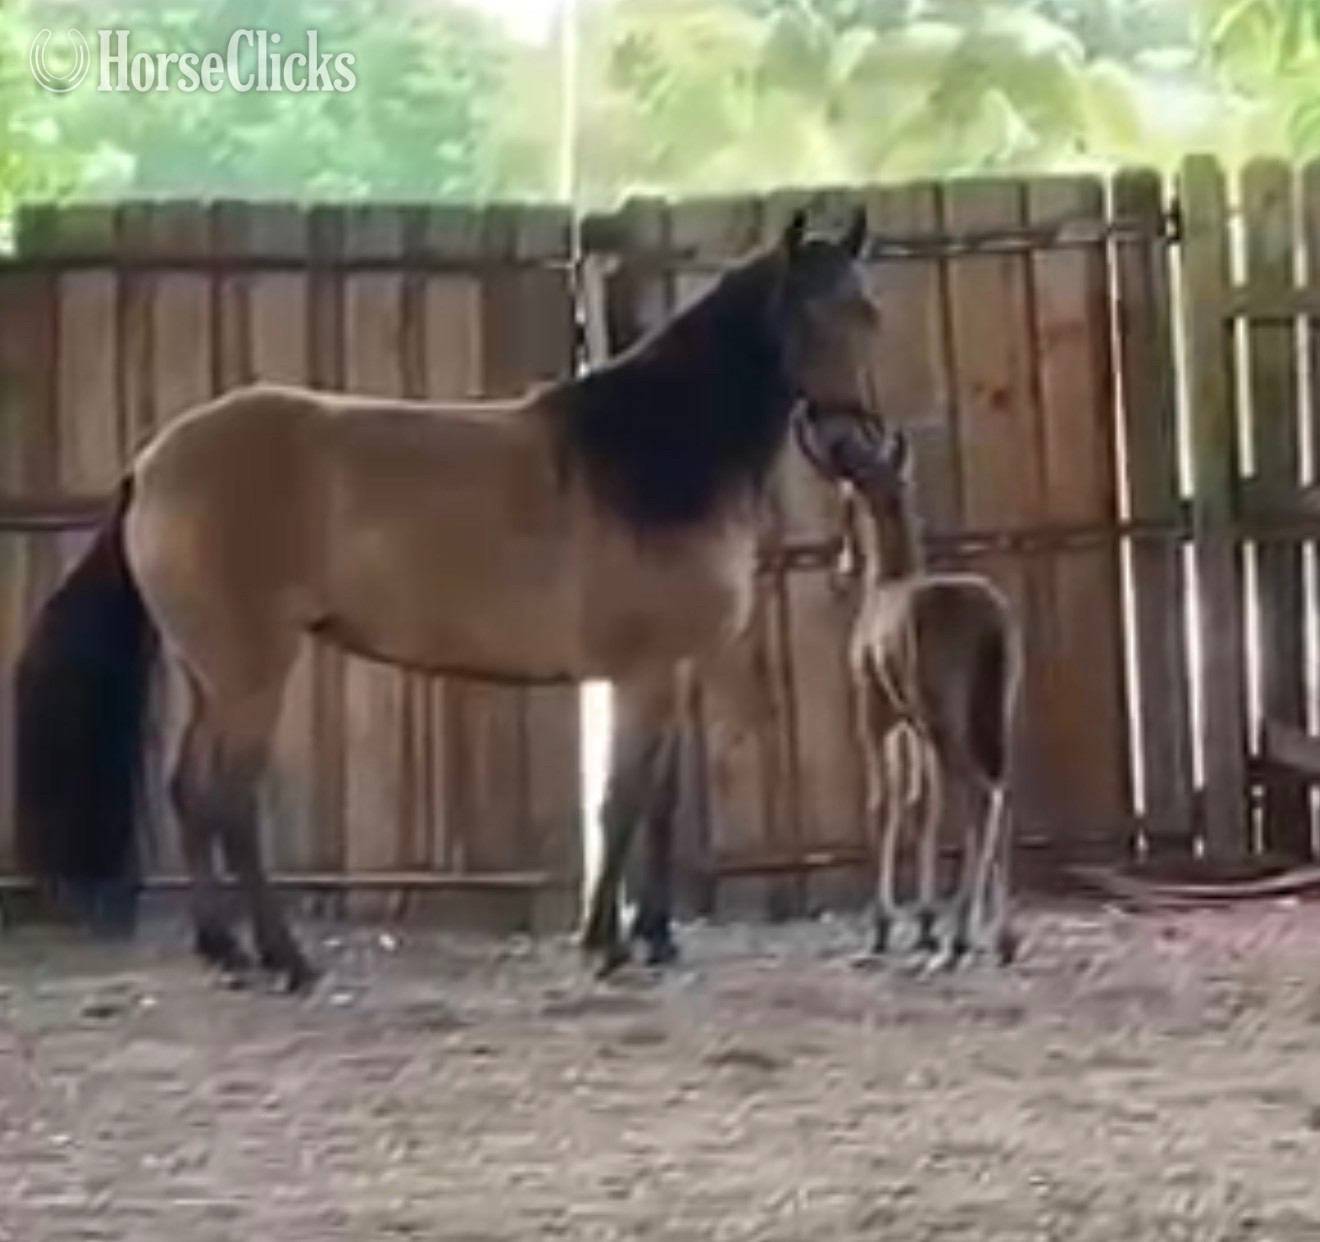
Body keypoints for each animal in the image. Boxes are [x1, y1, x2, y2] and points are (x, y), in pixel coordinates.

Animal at [13, 207, 885, 991]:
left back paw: (226, 950)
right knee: (228, 799)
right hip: (251, 673)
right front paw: (605, 945)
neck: (654, 454)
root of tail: (153, 463)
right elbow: (621, 803)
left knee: (190, 793)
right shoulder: (640, 672)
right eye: (810, 314)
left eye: (869, 313)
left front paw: (656, 938)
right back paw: (288, 959)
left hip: (212, 676)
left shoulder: (671, 671)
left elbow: (658, 803)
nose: (854, 446)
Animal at [795, 413, 1020, 969]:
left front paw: (883, 928)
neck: (887, 582)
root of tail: (991, 622)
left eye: (846, 501)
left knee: (981, 794)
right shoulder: (912, 726)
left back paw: (963, 937)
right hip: (993, 713)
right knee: (1002, 790)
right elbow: (924, 804)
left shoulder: (875, 713)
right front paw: (923, 925)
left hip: (947, 720)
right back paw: (1002, 938)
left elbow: (883, 803)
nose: (842, 566)